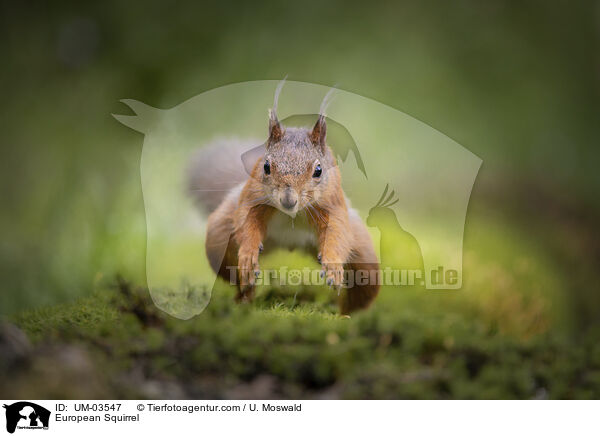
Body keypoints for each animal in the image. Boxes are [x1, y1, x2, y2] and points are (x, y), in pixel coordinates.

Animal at [189, 82, 380, 314]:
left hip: (365, 260)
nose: (288, 200)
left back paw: (346, 316)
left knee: (362, 290)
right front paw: (248, 255)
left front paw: (333, 266)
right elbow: (246, 222)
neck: (292, 215)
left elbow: (337, 231)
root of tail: (288, 244)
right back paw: (245, 297)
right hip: (219, 237)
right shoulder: (252, 198)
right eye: (266, 166)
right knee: (233, 275)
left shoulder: (333, 203)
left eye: (318, 170)